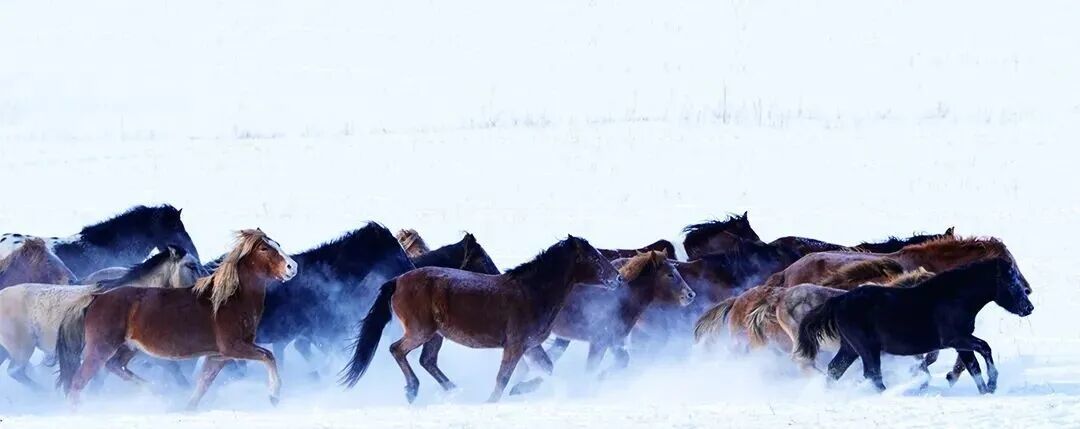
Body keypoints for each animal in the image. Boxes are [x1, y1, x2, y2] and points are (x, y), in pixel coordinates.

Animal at [57, 229, 297, 409]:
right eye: (264, 248)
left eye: (277, 244)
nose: (292, 267)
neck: (228, 301)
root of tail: (95, 298)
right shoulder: (234, 347)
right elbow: (268, 356)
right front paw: (274, 395)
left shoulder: (219, 355)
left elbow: (202, 384)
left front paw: (186, 408)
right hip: (100, 348)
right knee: (78, 383)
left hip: (128, 348)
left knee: (115, 367)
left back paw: (155, 391)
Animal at [340, 236, 624, 403]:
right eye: (593, 257)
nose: (619, 278)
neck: (532, 292)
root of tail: (397, 281)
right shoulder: (515, 345)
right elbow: (503, 377)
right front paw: (492, 401)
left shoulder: (531, 345)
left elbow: (547, 368)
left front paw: (521, 390)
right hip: (420, 331)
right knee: (397, 349)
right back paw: (412, 390)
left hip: (435, 335)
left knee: (427, 360)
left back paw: (454, 390)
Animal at [545, 250, 693, 374]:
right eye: (670, 274)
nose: (690, 295)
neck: (620, 299)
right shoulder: (599, 343)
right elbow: (591, 369)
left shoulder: (614, 342)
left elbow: (623, 360)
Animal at [796, 257, 1033, 393]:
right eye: (1012, 283)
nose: (1028, 308)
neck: (954, 297)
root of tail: (839, 300)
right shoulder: (956, 339)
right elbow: (984, 348)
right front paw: (993, 384)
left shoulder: (960, 343)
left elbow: (972, 366)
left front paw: (986, 390)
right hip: (867, 348)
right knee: (872, 374)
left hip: (850, 348)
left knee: (835, 370)